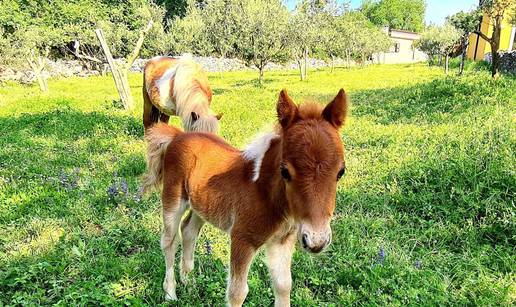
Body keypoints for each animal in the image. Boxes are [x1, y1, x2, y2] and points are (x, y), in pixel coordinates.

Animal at [143, 88, 348, 306]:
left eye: (341, 172)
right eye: (285, 171)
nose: (317, 241)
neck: (264, 193)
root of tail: (178, 136)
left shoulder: (283, 241)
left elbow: (283, 286)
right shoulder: (242, 239)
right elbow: (237, 293)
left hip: (201, 205)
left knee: (188, 230)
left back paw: (189, 283)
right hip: (173, 199)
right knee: (169, 241)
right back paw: (171, 293)